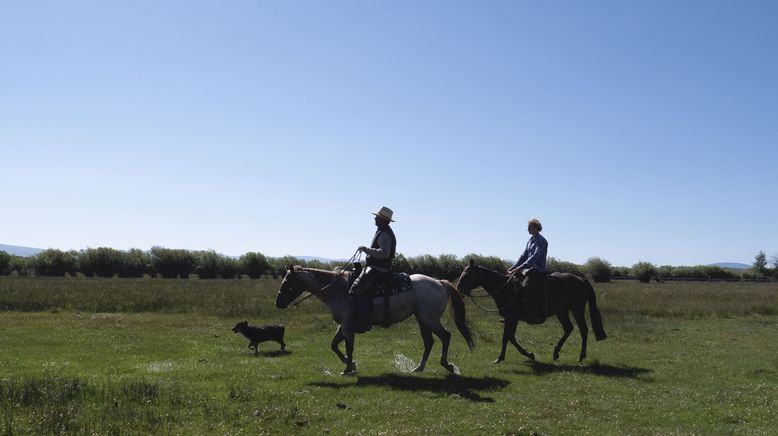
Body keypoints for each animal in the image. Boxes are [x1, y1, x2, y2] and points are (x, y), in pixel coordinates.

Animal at [276, 266, 476, 374]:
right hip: (422, 320)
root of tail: (440, 282)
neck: (337, 289)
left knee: (446, 336)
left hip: (430, 319)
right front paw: (351, 364)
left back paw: (447, 365)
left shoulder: (347, 326)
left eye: (287, 282)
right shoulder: (343, 325)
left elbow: (348, 346)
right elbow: (334, 345)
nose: (278, 302)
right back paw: (418, 368)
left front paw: (348, 369)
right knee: (429, 342)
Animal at [454, 260, 608, 362]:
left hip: (577, 309)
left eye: (468, 274)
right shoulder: (512, 320)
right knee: (568, 328)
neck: (506, 289)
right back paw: (556, 352)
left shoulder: (511, 318)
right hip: (562, 311)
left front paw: (500, 358)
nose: (459, 288)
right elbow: (511, 338)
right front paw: (529, 354)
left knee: (583, 330)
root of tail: (582, 279)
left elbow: (506, 338)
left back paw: (581, 356)